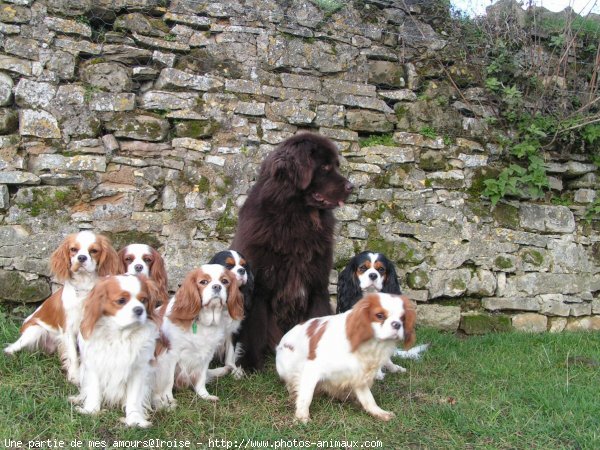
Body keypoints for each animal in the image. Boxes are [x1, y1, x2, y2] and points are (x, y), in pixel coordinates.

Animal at [232, 132, 354, 370]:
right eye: (325, 167)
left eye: (336, 165)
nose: (352, 186)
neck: (296, 219)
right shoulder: (259, 287)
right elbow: (254, 328)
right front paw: (249, 364)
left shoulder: (317, 284)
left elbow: (318, 316)